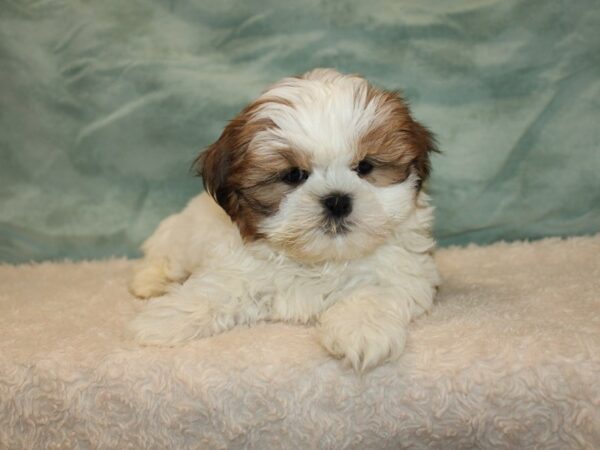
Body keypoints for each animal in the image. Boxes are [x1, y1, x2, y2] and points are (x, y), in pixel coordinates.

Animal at [130, 68, 440, 370]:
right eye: (293, 175)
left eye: (365, 167)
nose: (337, 200)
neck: (320, 261)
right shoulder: (237, 269)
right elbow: (213, 290)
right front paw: (164, 319)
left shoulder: (405, 274)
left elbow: (375, 293)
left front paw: (362, 330)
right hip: (183, 235)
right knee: (167, 256)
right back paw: (149, 281)